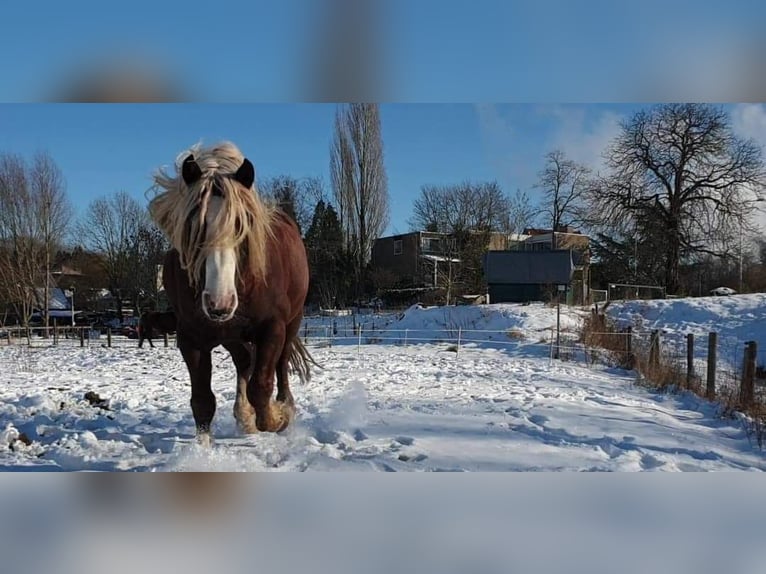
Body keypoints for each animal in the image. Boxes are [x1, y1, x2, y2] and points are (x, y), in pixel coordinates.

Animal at [147, 141, 316, 446]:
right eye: (193, 226)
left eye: (242, 224)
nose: (219, 303)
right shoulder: (192, 339)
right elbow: (202, 402)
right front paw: (203, 452)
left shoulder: (272, 328)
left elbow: (262, 386)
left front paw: (276, 418)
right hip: (231, 336)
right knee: (244, 362)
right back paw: (244, 416)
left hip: (292, 322)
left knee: (280, 364)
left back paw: (284, 409)